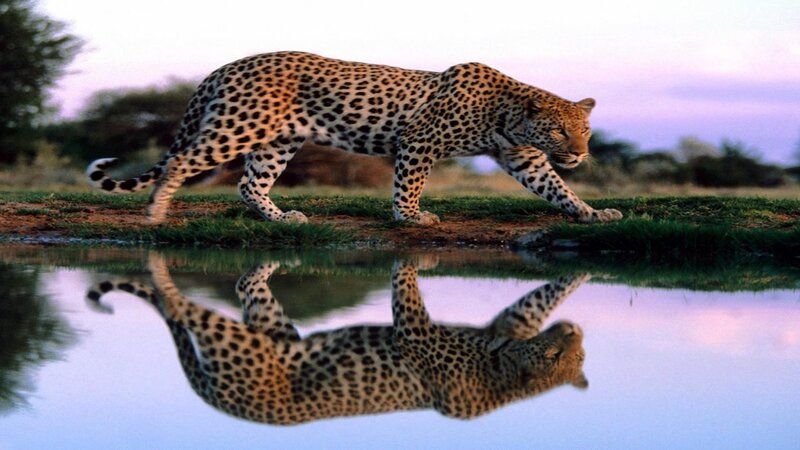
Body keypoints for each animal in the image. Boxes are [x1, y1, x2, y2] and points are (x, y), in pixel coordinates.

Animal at [85, 51, 622, 225]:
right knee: (180, 163)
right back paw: (156, 212)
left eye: (585, 130)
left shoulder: (522, 157)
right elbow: (409, 184)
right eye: (558, 130)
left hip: (278, 141)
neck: (507, 113)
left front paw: (592, 213)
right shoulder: (420, 141)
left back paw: (281, 218)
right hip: (237, 126)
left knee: (249, 183)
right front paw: (410, 218)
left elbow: (557, 187)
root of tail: (227, 66)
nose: (579, 153)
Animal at [87, 253, 589, 425]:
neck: (497, 370)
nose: (575, 329)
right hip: (238, 342)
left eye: (579, 355)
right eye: (553, 354)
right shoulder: (417, 330)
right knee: (181, 306)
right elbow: (406, 291)